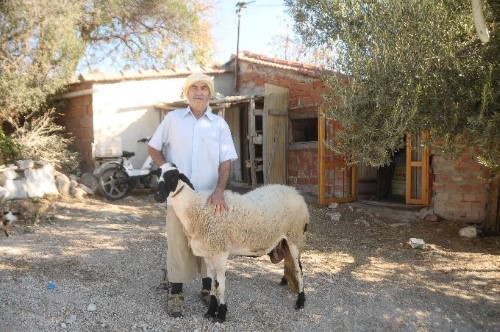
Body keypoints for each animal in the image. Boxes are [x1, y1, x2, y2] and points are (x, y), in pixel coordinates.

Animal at [156, 163, 308, 322]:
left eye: (173, 176)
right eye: (157, 174)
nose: (157, 196)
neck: (195, 206)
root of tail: (294, 192)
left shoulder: (221, 250)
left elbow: (221, 284)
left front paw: (221, 314)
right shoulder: (208, 253)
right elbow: (211, 282)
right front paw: (211, 310)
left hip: (295, 235)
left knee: (299, 269)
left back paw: (300, 301)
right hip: (286, 239)